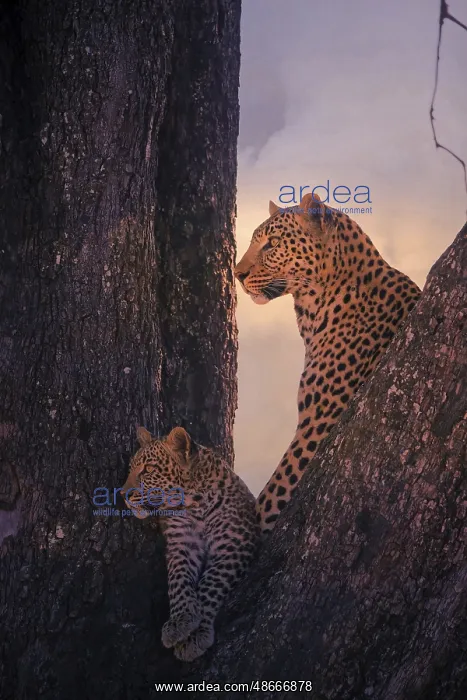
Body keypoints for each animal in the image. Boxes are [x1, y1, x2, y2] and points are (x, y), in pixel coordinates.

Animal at [120, 425, 259, 662]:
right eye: (131, 468)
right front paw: (180, 621)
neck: (194, 502)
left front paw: (194, 636)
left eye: (148, 470)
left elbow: (211, 584)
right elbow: (178, 581)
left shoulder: (233, 544)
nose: (122, 494)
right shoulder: (183, 543)